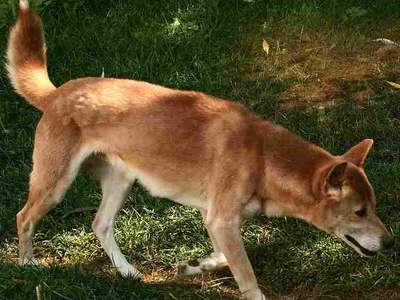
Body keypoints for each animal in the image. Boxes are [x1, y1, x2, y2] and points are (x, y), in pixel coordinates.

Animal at [6, 1, 394, 298]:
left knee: (100, 224)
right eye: (359, 212)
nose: (391, 243)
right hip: (55, 183)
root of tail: (58, 93)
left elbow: (223, 257)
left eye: (373, 206)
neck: (262, 156)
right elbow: (246, 276)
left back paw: (127, 271)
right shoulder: (221, 219)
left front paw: (194, 265)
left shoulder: (217, 219)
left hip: (121, 181)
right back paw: (28, 264)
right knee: (24, 217)